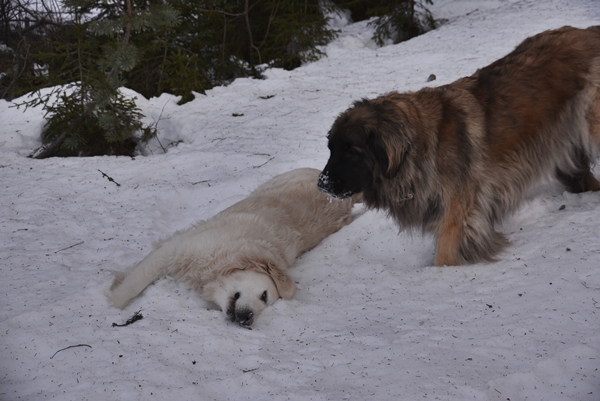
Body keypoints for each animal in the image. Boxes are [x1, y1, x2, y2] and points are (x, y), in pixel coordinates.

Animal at [110, 167, 358, 326]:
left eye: (265, 301)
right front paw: (109, 305)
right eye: (264, 295)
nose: (248, 319)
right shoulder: (175, 250)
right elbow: (131, 287)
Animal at [318, 27, 600, 266]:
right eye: (331, 149)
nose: (321, 185)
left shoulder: (456, 216)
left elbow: (444, 256)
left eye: (351, 152)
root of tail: (588, 31)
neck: (419, 148)